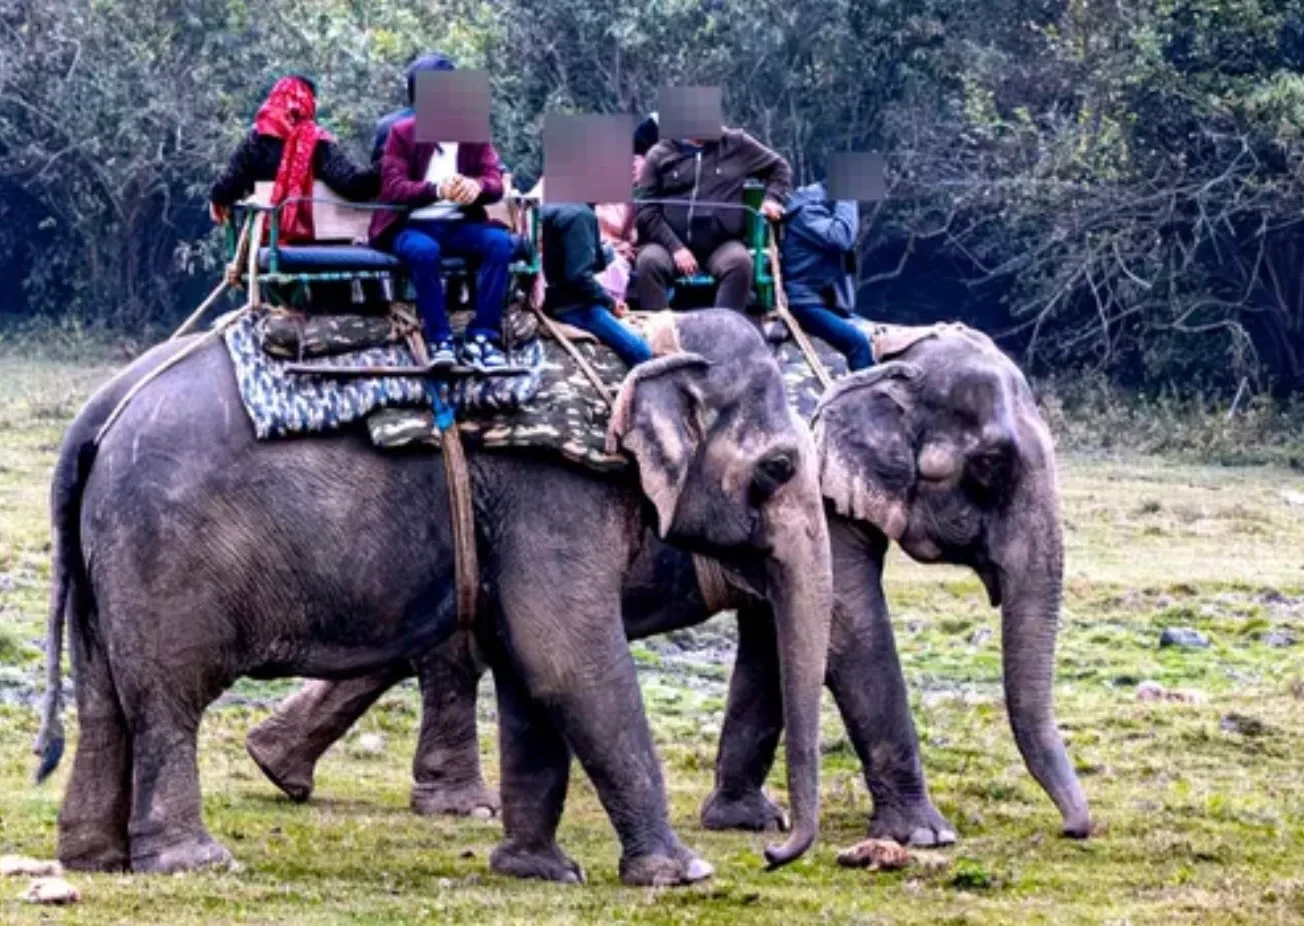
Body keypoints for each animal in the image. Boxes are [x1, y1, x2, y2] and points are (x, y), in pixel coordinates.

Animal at [32, 308, 834, 886]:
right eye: (778, 467)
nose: (774, 852)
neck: (640, 347)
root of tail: (96, 416)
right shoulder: (556, 490)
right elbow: (565, 659)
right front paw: (684, 874)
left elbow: (529, 667)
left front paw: (539, 871)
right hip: (163, 549)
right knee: (168, 699)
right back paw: (193, 862)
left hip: (109, 551)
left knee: (106, 697)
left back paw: (94, 860)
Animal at [243, 324, 1092, 844]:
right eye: (991, 465)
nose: (1076, 829)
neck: (882, 342)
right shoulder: (811, 492)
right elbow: (848, 624)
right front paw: (926, 836)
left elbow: (776, 636)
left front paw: (746, 819)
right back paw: (457, 806)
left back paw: (276, 767)